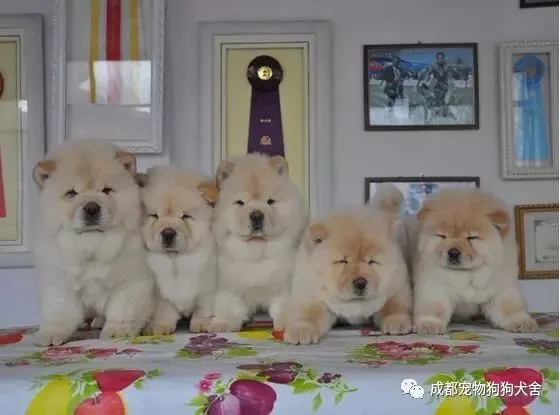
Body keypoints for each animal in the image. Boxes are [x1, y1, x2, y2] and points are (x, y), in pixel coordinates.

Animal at [32, 139, 155, 346]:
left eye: (106, 190)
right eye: (71, 193)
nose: (91, 208)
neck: (92, 247)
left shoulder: (131, 280)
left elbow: (122, 308)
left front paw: (116, 331)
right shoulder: (60, 279)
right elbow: (59, 310)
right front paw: (50, 334)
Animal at [136, 166, 218, 335]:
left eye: (185, 216)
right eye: (155, 216)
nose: (168, 233)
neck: (175, 259)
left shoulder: (207, 288)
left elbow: (202, 308)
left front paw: (201, 324)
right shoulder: (161, 294)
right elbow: (165, 311)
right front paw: (160, 327)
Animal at [207, 153, 307, 332]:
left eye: (270, 201)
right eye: (240, 202)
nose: (257, 215)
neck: (256, 250)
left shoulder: (283, 287)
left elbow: (282, 306)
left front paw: (285, 324)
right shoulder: (229, 286)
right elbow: (229, 307)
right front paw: (221, 323)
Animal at [283, 189, 412, 345]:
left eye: (372, 262)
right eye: (342, 261)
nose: (361, 282)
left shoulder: (396, 286)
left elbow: (393, 306)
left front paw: (397, 323)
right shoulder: (312, 295)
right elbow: (308, 314)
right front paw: (300, 331)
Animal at [410, 189, 537, 334]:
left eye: (472, 237)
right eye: (442, 236)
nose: (453, 252)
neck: (468, 274)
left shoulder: (501, 288)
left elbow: (509, 308)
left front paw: (524, 322)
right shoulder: (434, 286)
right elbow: (434, 307)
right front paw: (428, 325)